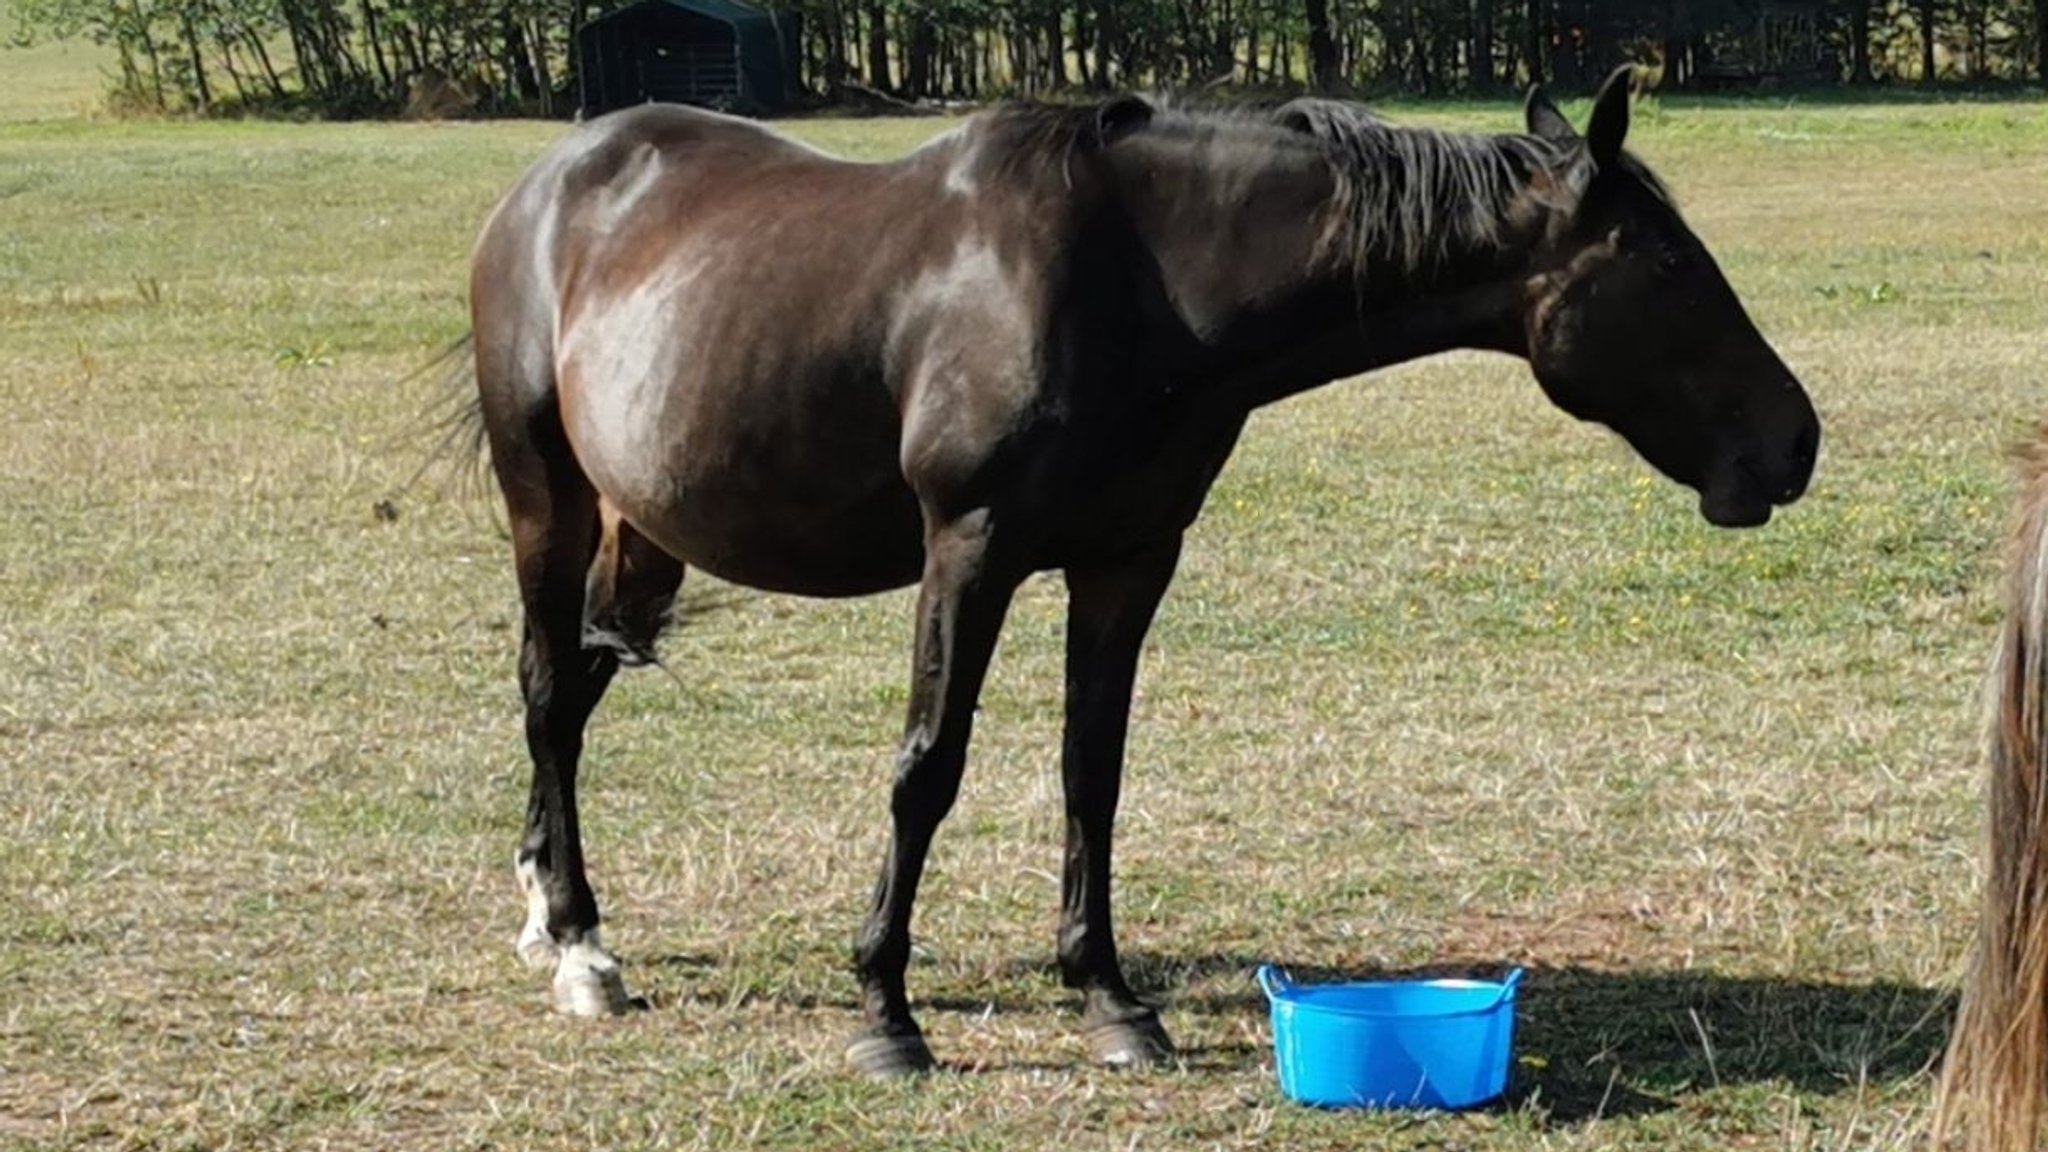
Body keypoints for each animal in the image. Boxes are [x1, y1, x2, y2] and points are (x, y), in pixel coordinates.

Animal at [456, 67, 1818, 1074]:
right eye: (1668, 267)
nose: (1793, 441)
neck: (1132, 286)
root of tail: (552, 181)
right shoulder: (969, 550)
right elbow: (925, 771)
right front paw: (885, 1011)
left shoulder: (1125, 562)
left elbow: (1090, 774)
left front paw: (1107, 998)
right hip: (546, 498)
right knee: (545, 696)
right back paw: (580, 950)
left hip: (643, 527)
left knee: (575, 691)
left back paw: (543, 907)